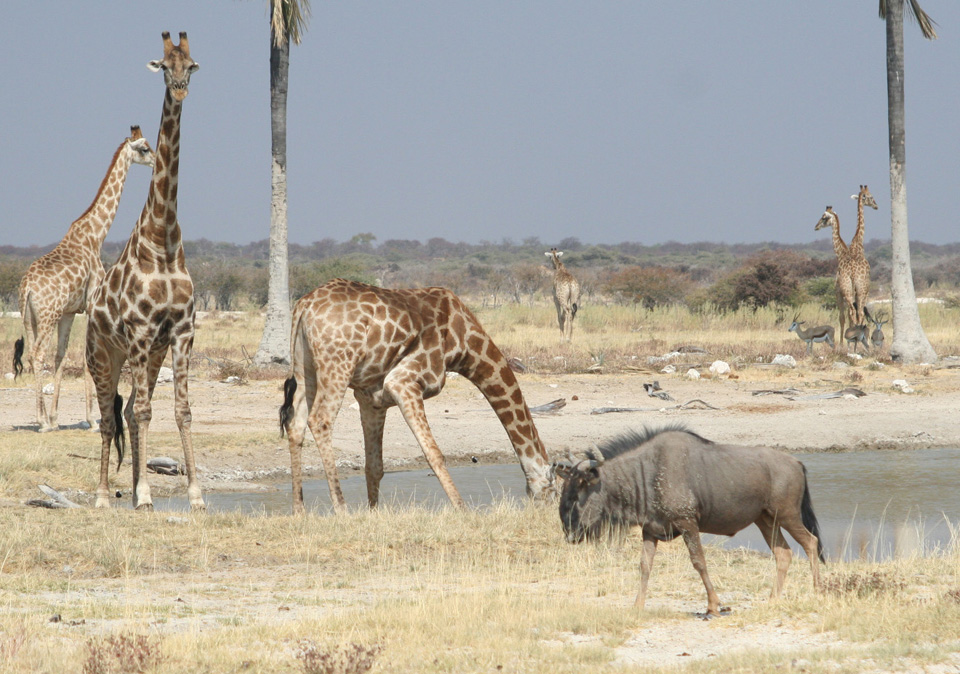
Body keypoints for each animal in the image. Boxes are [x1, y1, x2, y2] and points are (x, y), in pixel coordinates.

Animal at [13, 126, 155, 430]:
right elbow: (90, 358)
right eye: (144, 148)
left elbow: (62, 355)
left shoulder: (70, 312)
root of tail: (28, 287)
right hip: (47, 314)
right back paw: (40, 422)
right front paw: (92, 419)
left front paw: (56, 417)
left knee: (32, 353)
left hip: (28, 317)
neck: (95, 234)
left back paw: (44, 418)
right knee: (37, 354)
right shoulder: (91, 303)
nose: (156, 160)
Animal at [278, 276, 560, 512]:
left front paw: (373, 513)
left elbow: (374, 466)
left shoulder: (371, 399)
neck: (465, 343)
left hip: (306, 368)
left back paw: (299, 511)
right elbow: (435, 454)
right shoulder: (405, 383)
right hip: (338, 364)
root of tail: (303, 305)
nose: (547, 514)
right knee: (321, 419)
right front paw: (463, 511)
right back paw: (341, 510)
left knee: (296, 423)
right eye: (554, 491)